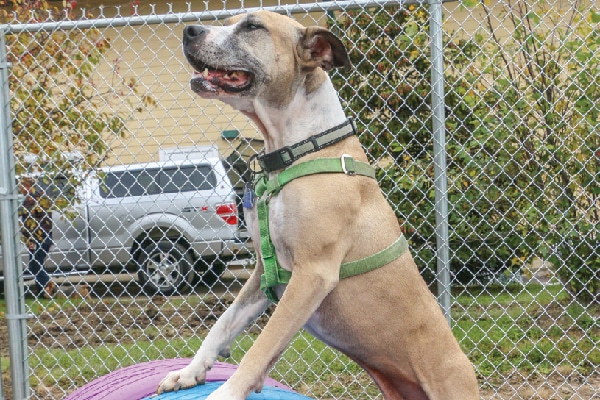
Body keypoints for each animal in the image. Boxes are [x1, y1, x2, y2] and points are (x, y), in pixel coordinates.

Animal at [157, 10, 480, 400]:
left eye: (252, 26)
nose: (189, 30)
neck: (295, 150)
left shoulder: (312, 272)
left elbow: (262, 345)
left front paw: (226, 392)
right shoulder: (264, 273)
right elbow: (223, 324)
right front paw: (189, 372)